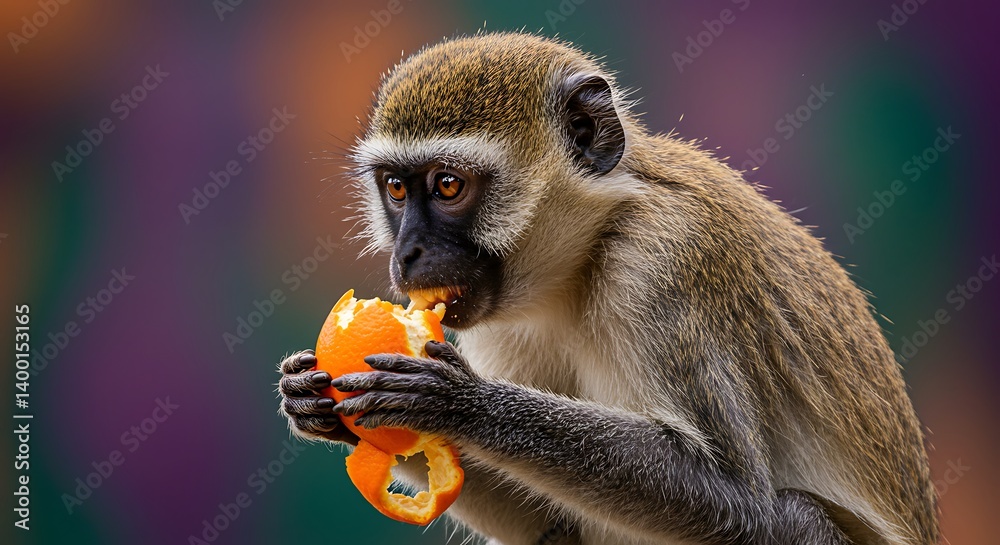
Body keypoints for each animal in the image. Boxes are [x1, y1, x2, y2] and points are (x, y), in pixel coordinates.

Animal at [279, 32, 938, 545]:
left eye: (447, 186)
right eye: (395, 188)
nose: (407, 253)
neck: (588, 252)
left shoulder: (662, 260)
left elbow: (741, 504)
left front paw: (460, 404)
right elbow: (552, 525)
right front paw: (312, 402)